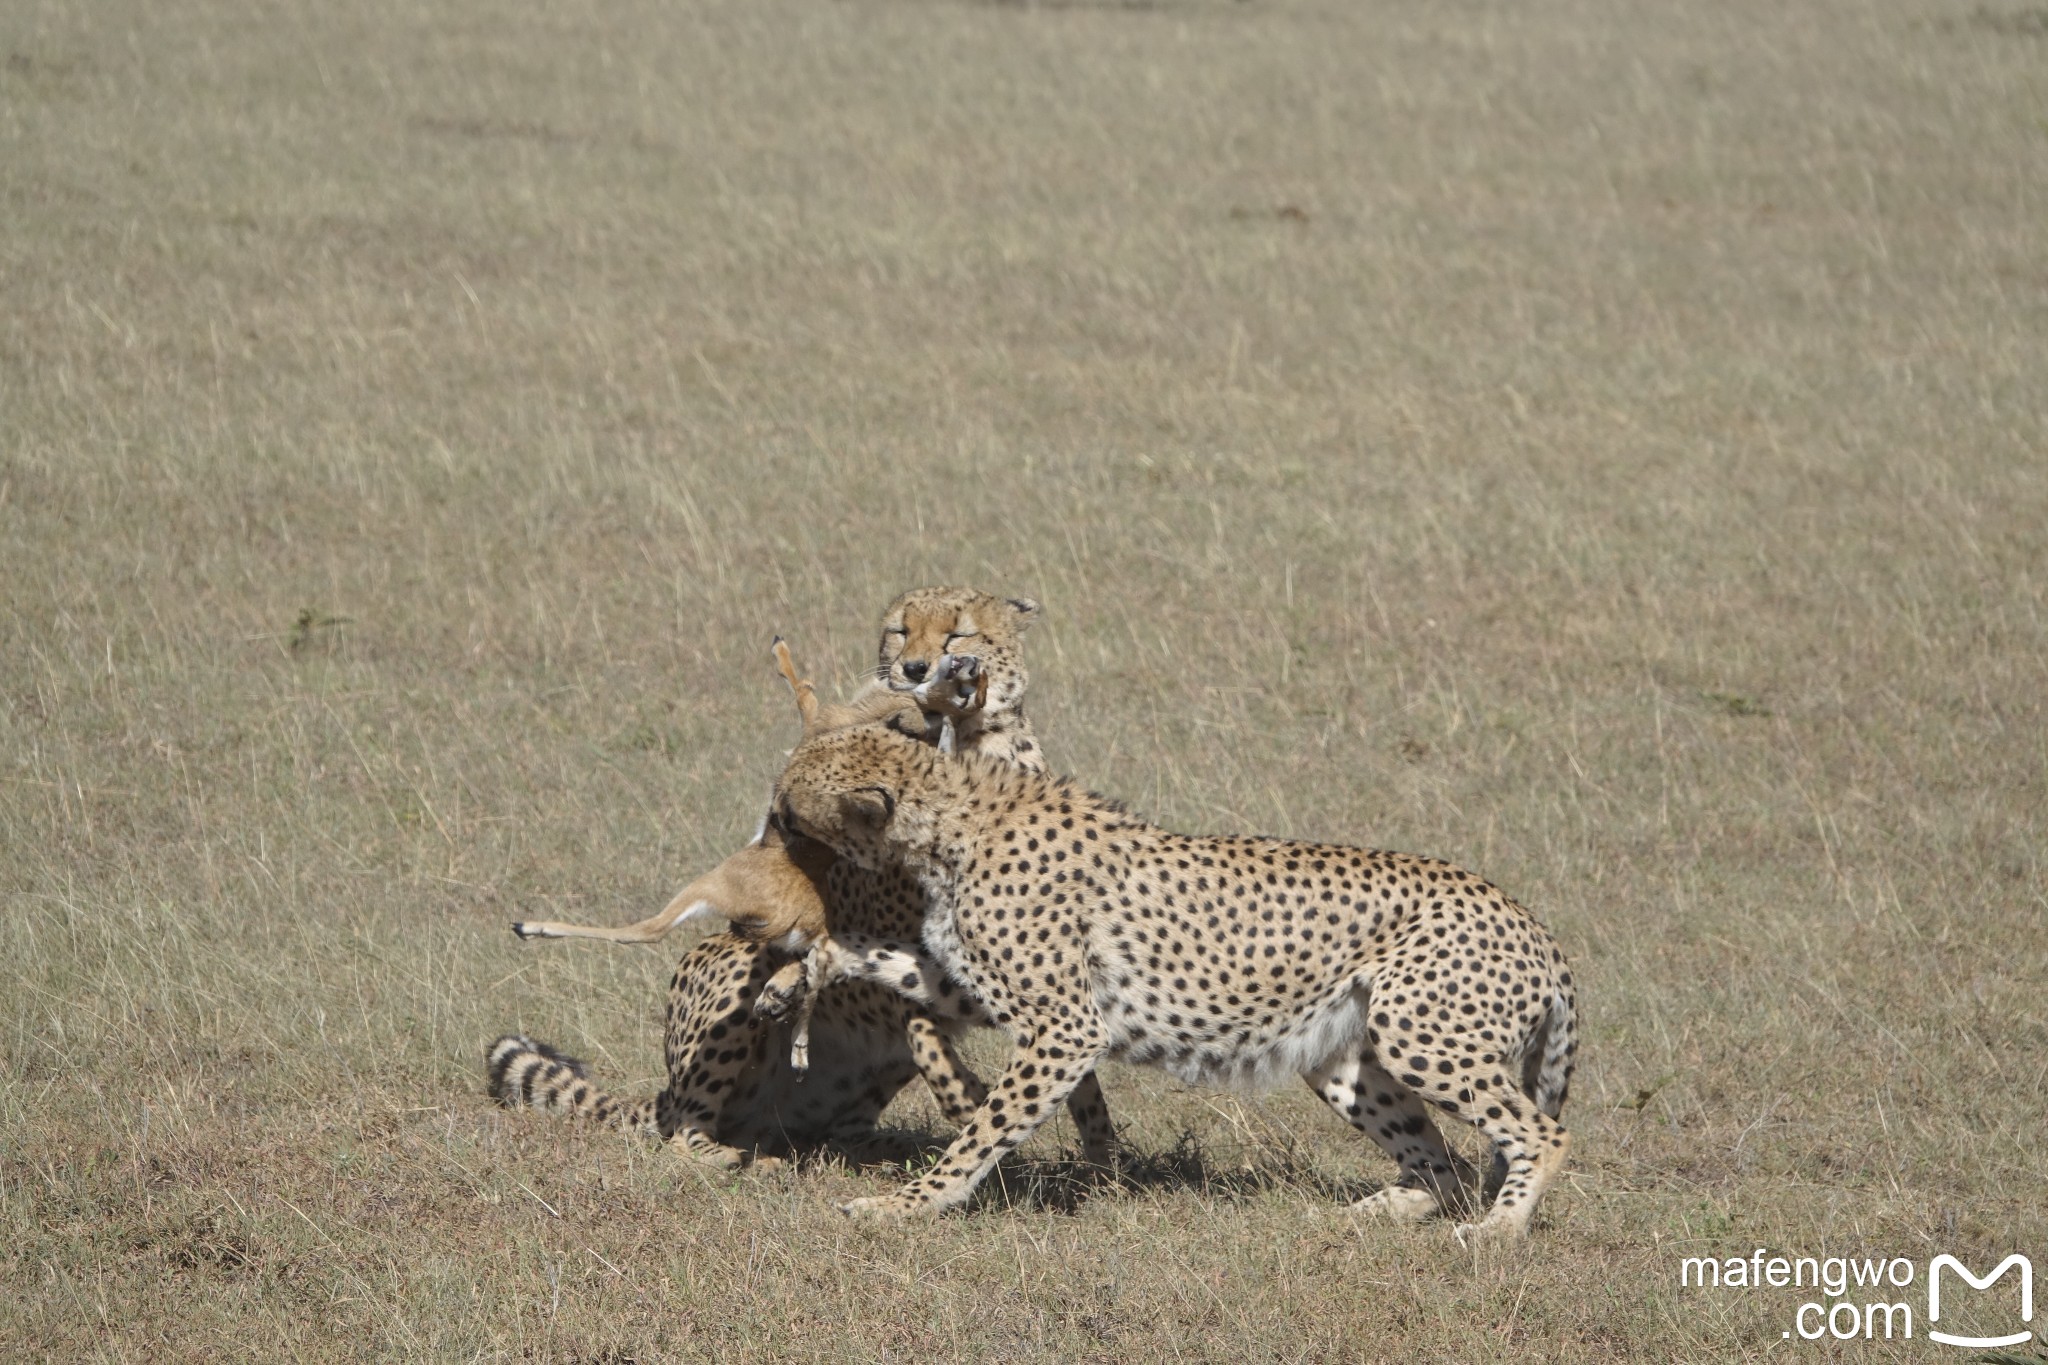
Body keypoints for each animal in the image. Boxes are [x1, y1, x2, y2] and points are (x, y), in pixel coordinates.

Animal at [485, 589, 1114, 1178]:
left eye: (959, 633)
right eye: (900, 630)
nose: (918, 669)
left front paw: (1099, 1153)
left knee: (835, 1120)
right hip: (733, 961)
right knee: (684, 1127)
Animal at [770, 732, 1581, 1244]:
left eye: (789, 809)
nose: (769, 828)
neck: (951, 814)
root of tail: (1533, 922)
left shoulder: (1066, 1026)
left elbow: (983, 1132)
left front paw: (905, 1206)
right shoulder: (982, 986)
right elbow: (885, 957)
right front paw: (799, 969)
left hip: (1420, 1035)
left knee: (1540, 1134)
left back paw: (1498, 1230)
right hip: (1342, 1057)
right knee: (1443, 1165)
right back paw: (1352, 1217)